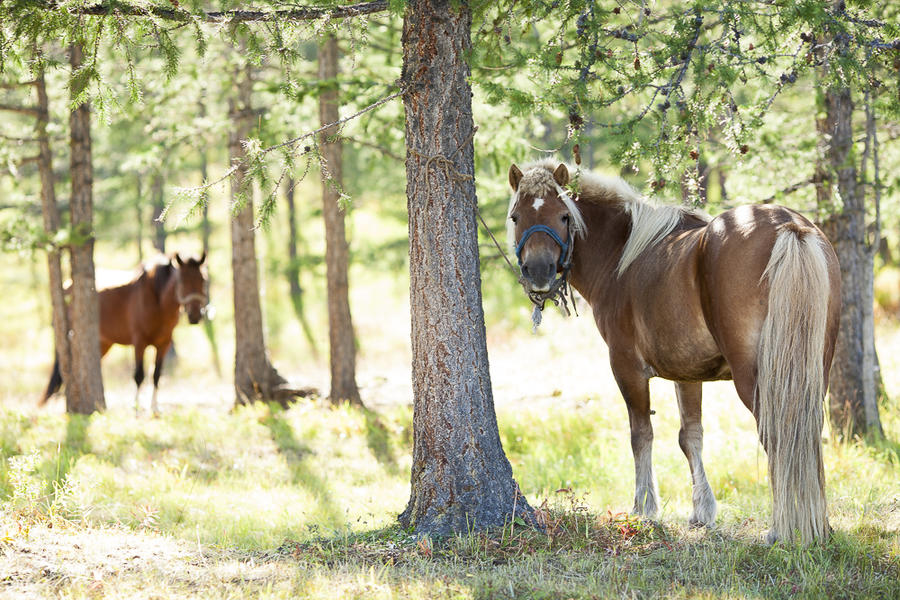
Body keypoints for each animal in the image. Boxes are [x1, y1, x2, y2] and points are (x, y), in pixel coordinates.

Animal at [40, 253, 209, 418]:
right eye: (183, 281)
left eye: (203, 280)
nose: (195, 315)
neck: (157, 300)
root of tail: (67, 286)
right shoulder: (139, 342)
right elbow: (139, 375)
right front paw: (136, 409)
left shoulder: (164, 344)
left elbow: (156, 375)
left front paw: (154, 408)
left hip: (103, 343)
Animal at [506, 159, 844, 544]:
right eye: (516, 216)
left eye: (564, 216)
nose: (539, 272)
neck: (621, 256)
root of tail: (789, 225)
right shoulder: (688, 374)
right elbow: (690, 437)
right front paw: (702, 511)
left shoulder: (626, 368)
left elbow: (641, 435)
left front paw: (644, 509)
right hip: (812, 371)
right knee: (807, 435)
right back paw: (818, 523)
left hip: (758, 379)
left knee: (778, 434)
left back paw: (782, 528)